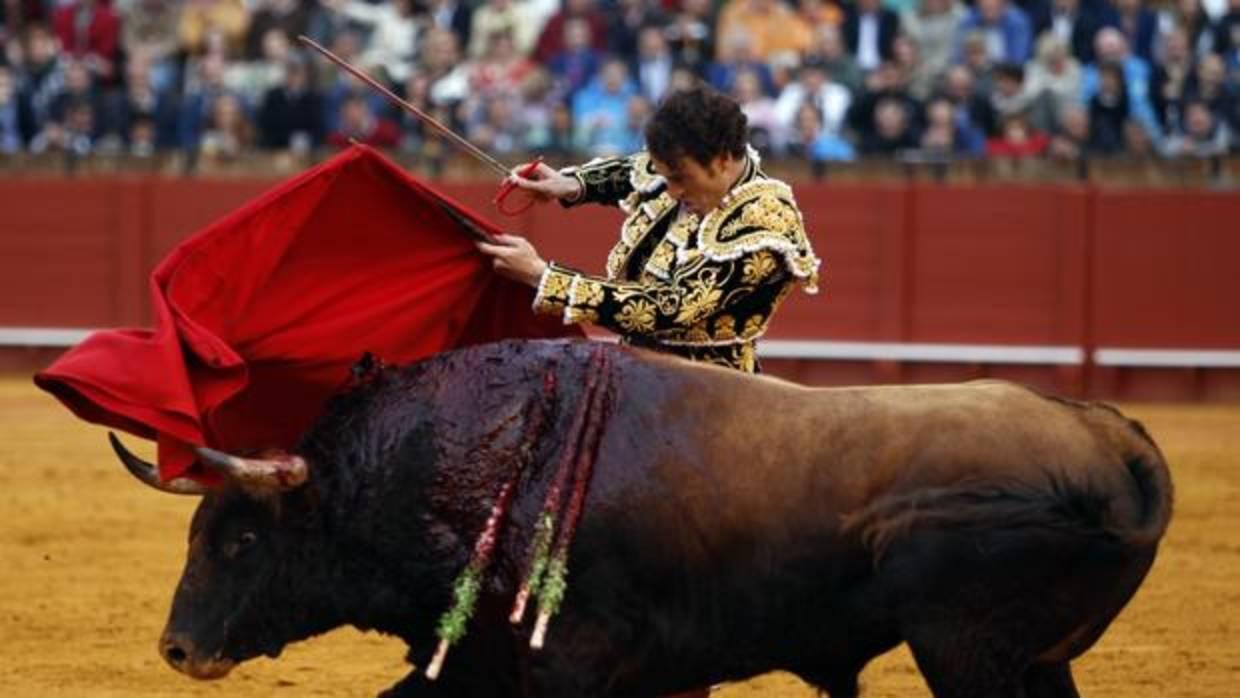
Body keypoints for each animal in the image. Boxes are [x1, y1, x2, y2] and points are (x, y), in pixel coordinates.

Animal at [109, 334, 1170, 694]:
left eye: (244, 540)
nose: (176, 648)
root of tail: (1107, 432)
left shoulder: (568, 665)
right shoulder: (480, 664)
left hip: (965, 654)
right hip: (1034, 662)